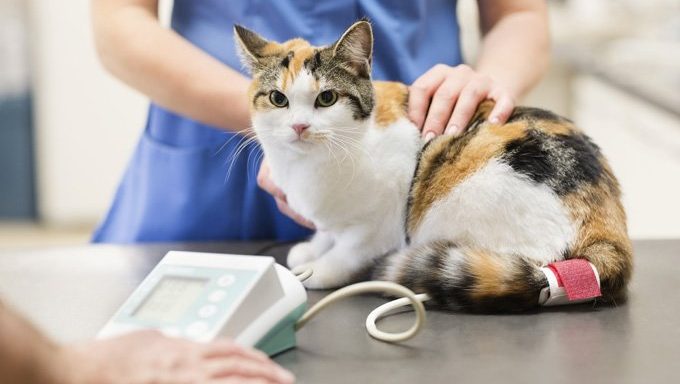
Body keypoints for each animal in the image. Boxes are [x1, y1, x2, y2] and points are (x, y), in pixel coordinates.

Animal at [235, 20, 632, 312]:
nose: (299, 126)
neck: (312, 166)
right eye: (278, 99)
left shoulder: (383, 219)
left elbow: (350, 249)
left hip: (456, 201)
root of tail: (608, 229)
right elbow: (328, 232)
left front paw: (318, 269)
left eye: (327, 98)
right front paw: (313, 247)